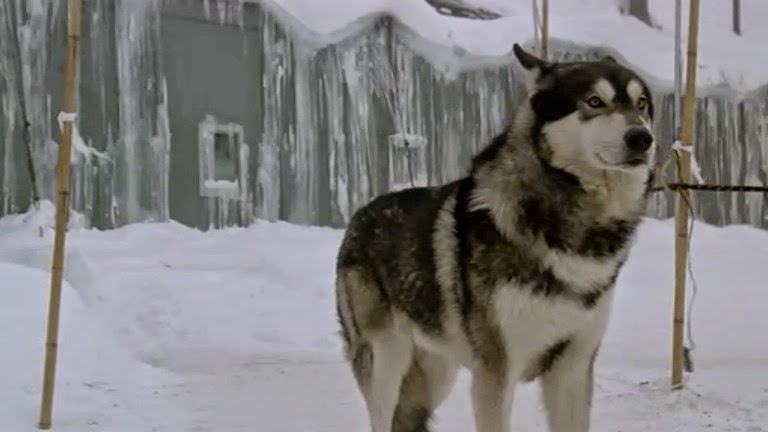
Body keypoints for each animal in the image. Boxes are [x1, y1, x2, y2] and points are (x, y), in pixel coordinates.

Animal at [335, 43, 656, 432]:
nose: (642, 138)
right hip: (386, 362)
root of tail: (359, 215)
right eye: (594, 101)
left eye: (641, 104)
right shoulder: (496, 372)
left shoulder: (573, 369)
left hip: (436, 374)